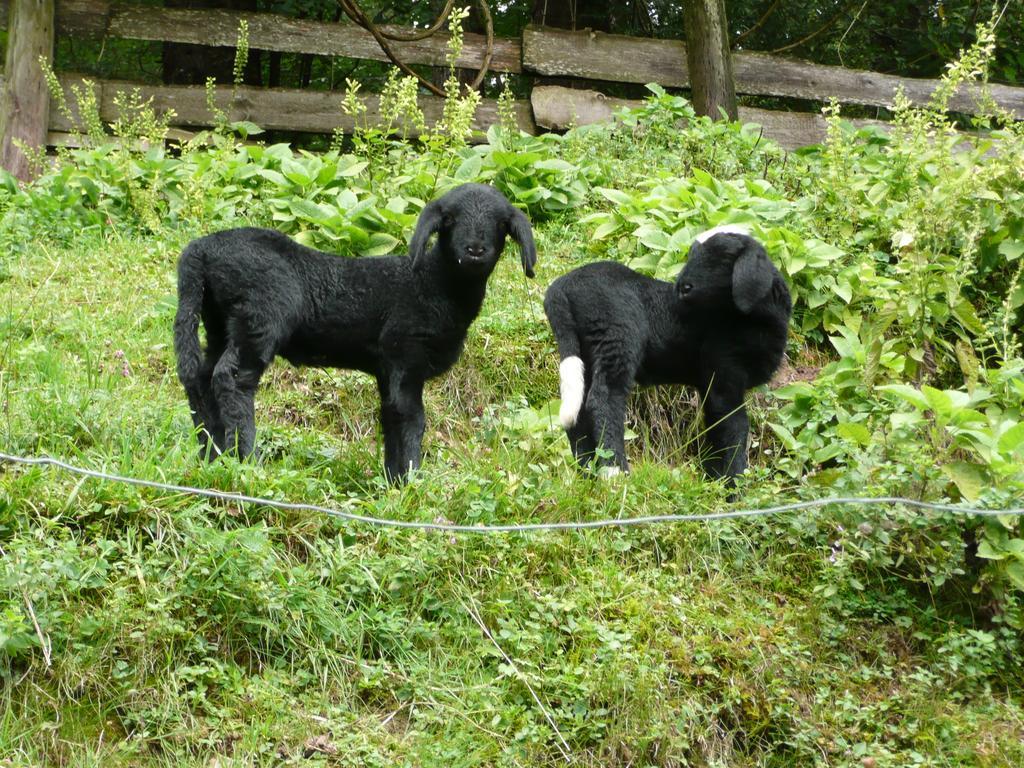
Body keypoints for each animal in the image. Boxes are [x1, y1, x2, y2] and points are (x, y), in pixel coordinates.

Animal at [169, 182, 536, 481]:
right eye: (450, 221)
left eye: (501, 224)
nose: (474, 250)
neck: (433, 283)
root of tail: (200, 251)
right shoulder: (405, 353)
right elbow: (412, 419)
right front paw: (413, 481)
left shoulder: (388, 369)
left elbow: (390, 416)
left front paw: (394, 482)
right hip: (260, 316)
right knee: (230, 379)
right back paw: (247, 460)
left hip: (217, 320)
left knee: (199, 377)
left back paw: (212, 455)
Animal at [544, 225, 790, 483]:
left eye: (722, 258)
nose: (683, 287)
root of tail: (560, 288)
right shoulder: (724, 371)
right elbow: (733, 426)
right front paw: (735, 482)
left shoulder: (709, 382)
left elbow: (714, 426)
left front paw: (714, 479)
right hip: (616, 334)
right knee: (604, 398)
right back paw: (616, 471)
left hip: (584, 351)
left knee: (578, 410)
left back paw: (586, 473)